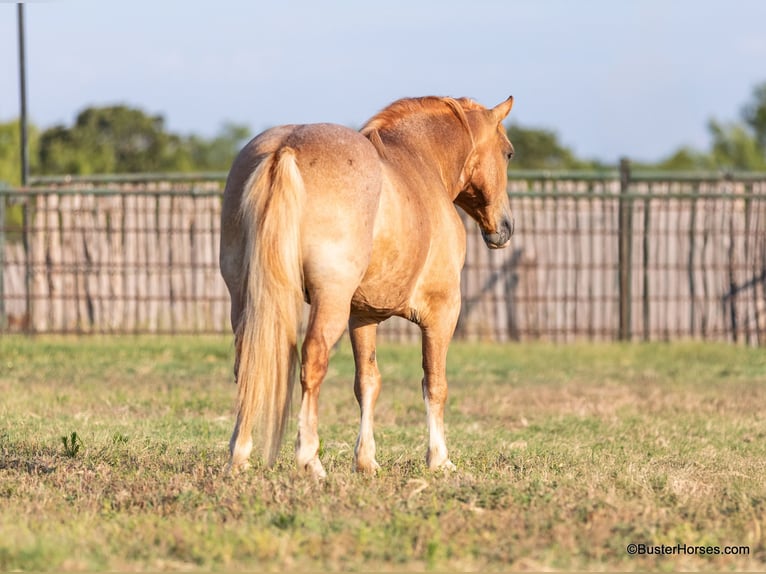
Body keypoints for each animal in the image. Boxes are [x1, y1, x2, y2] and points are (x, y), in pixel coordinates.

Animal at [220, 95, 516, 482]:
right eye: (508, 153)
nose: (505, 227)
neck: (420, 162)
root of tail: (286, 148)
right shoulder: (443, 312)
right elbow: (434, 384)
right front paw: (439, 459)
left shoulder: (363, 316)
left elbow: (367, 383)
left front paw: (366, 460)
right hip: (329, 301)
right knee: (313, 360)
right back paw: (309, 458)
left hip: (245, 298)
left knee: (248, 362)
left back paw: (238, 456)